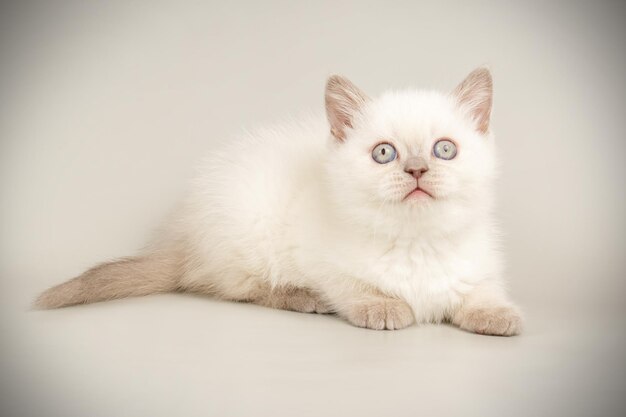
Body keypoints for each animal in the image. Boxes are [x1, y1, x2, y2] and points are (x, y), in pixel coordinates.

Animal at [34, 68, 520, 334]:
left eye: (444, 149)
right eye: (385, 153)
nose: (417, 170)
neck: (417, 241)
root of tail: (186, 237)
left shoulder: (479, 269)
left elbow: (484, 293)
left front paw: (499, 316)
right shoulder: (324, 259)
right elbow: (353, 286)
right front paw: (382, 306)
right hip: (246, 230)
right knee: (237, 288)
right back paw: (303, 298)